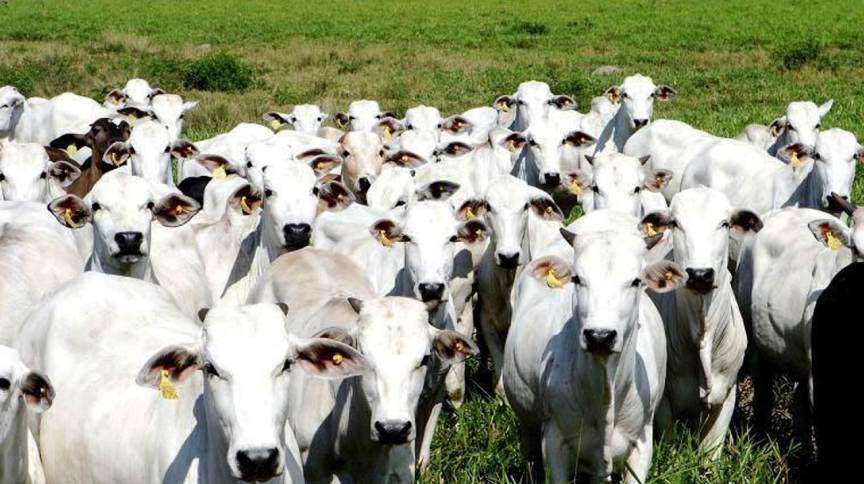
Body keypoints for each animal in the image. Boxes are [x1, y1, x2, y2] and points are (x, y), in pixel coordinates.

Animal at [503, 216, 683, 482]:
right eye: (577, 279)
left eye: (636, 281)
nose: (600, 336)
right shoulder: (554, 441)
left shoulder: (642, 442)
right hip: (528, 422)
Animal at [639, 187, 759, 457]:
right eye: (675, 223)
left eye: (725, 223)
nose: (700, 275)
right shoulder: (664, 402)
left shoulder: (727, 395)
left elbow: (710, 456)